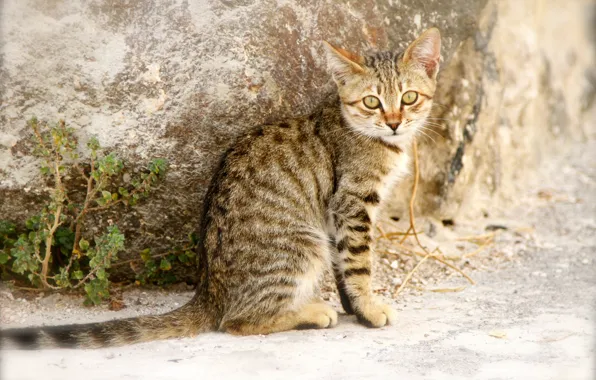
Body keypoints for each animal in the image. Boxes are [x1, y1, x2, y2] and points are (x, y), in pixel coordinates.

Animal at [2, 27, 440, 350]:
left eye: (409, 97)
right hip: (302, 244)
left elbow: (344, 265)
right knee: (238, 322)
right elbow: (359, 262)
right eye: (371, 102)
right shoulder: (352, 201)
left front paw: (355, 306)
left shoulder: (339, 214)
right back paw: (310, 313)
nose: (394, 122)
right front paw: (368, 306)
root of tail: (208, 293)